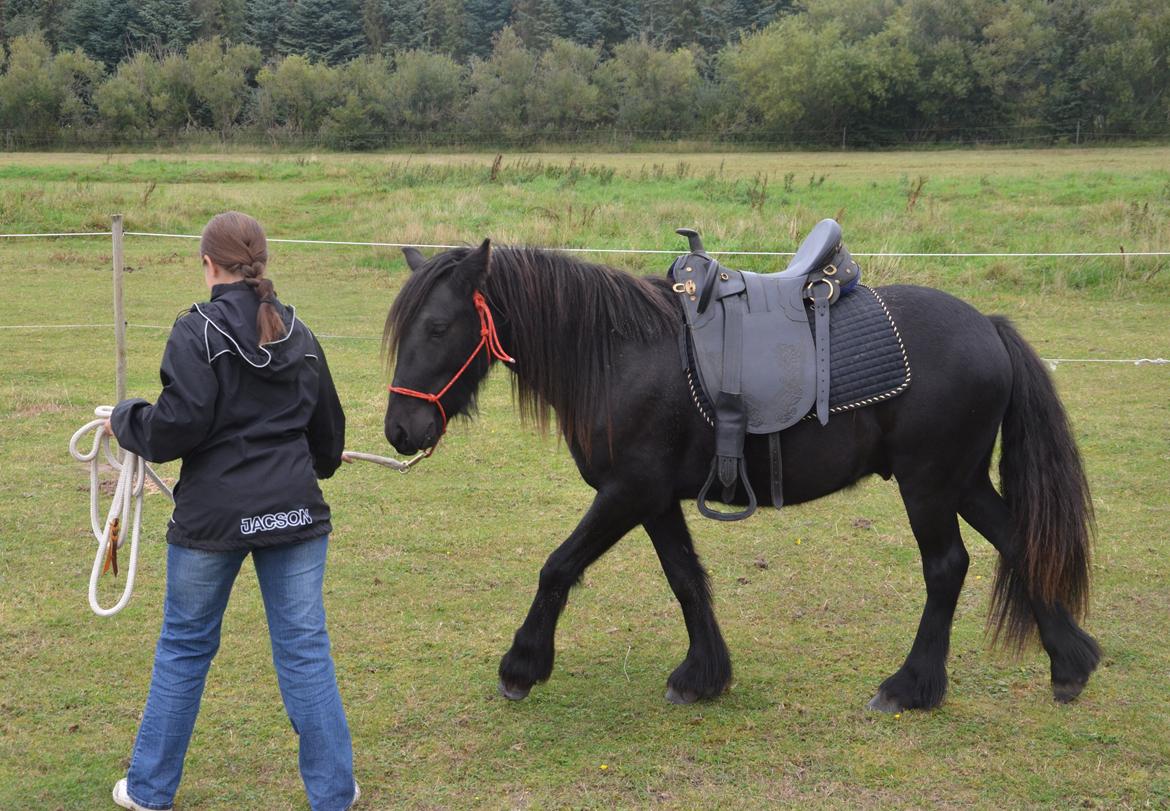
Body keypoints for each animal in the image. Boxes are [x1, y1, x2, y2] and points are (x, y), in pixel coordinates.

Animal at [381, 238, 1095, 706]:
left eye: (438, 327)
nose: (399, 431)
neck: (619, 353)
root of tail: (989, 326)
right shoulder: (654, 500)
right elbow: (685, 579)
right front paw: (703, 675)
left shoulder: (626, 492)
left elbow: (557, 566)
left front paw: (523, 665)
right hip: (963, 481)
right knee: (1020, 543)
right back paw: (1071, 662)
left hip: (929, 485)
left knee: (947, 569)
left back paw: (912, 686)